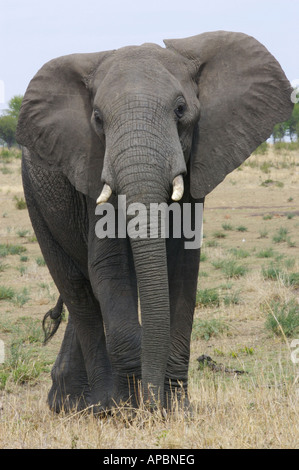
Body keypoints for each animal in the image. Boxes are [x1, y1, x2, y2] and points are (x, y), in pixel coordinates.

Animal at [15, 31, 292, 414]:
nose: (153, 403)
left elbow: (183, 269)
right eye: (98, 118)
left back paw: (72, 403)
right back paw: (101, 407)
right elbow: (109, 267)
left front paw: (175, 409)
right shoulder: (91, 162)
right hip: (35, 197)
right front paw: (135, 411)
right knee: (80, 292)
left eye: (180, 110)